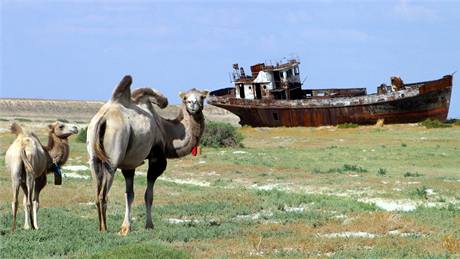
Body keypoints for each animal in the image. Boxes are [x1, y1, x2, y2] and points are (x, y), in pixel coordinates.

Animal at [86, 75, 208, 236]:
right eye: (185, 98)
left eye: (202, 97)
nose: (193, 103)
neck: (166, 132)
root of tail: (103, 118)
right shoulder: (157, 158)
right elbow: (148, 195)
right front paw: (149, 225)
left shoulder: (129, 164)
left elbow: (129, 194)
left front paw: (126, 227)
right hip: (112, 158)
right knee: (103, 194)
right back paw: (104, 229)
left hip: (93, 157)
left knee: (97, 190)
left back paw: (100, 227)